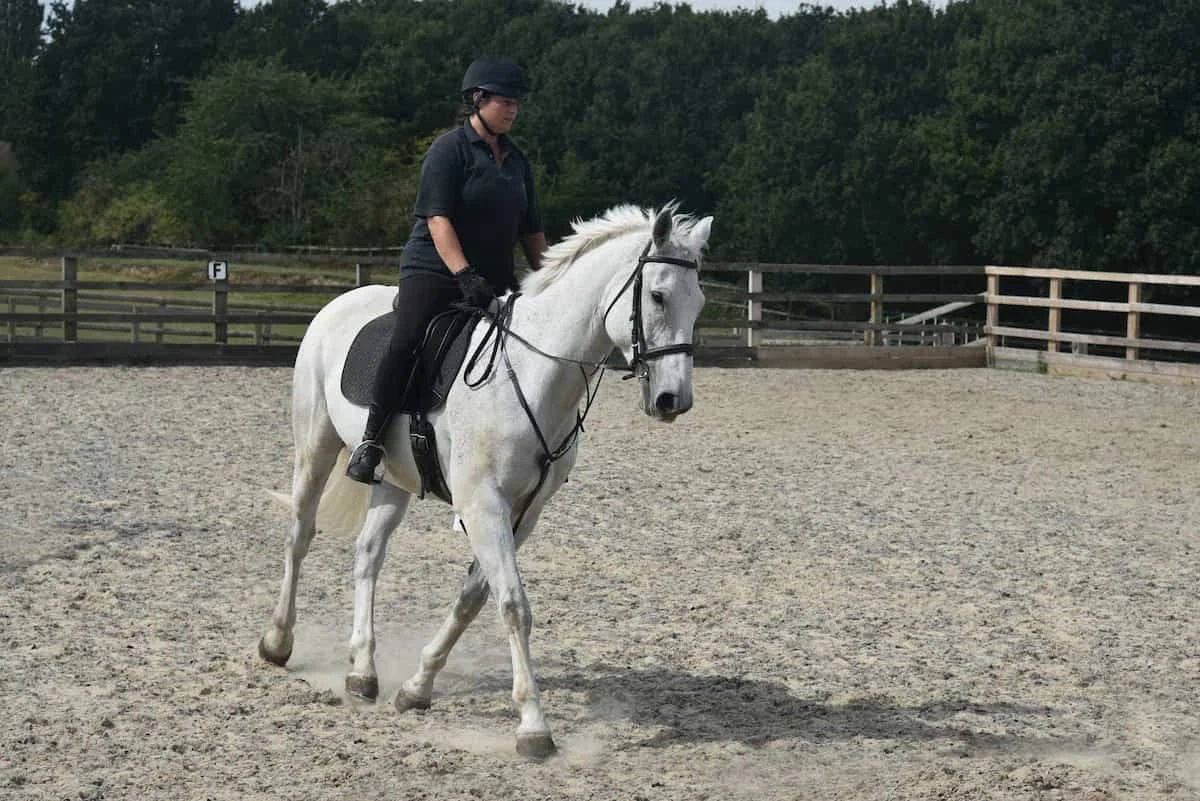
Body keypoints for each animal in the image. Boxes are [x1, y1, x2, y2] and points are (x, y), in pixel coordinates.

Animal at [257, 204, 712, 758]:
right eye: (658, 295)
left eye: (699, 302)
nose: (673, 400)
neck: (532, 374)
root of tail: (339, 303)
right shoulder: (483, 504)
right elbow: (514, 605)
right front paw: (534, 727)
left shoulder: (522, 511)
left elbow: (474, 598)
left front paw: (417, 688)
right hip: (315, 446)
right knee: (300, 535)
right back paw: (278, 642)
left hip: (394, 479)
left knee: (368, 555)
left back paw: (363, 671)